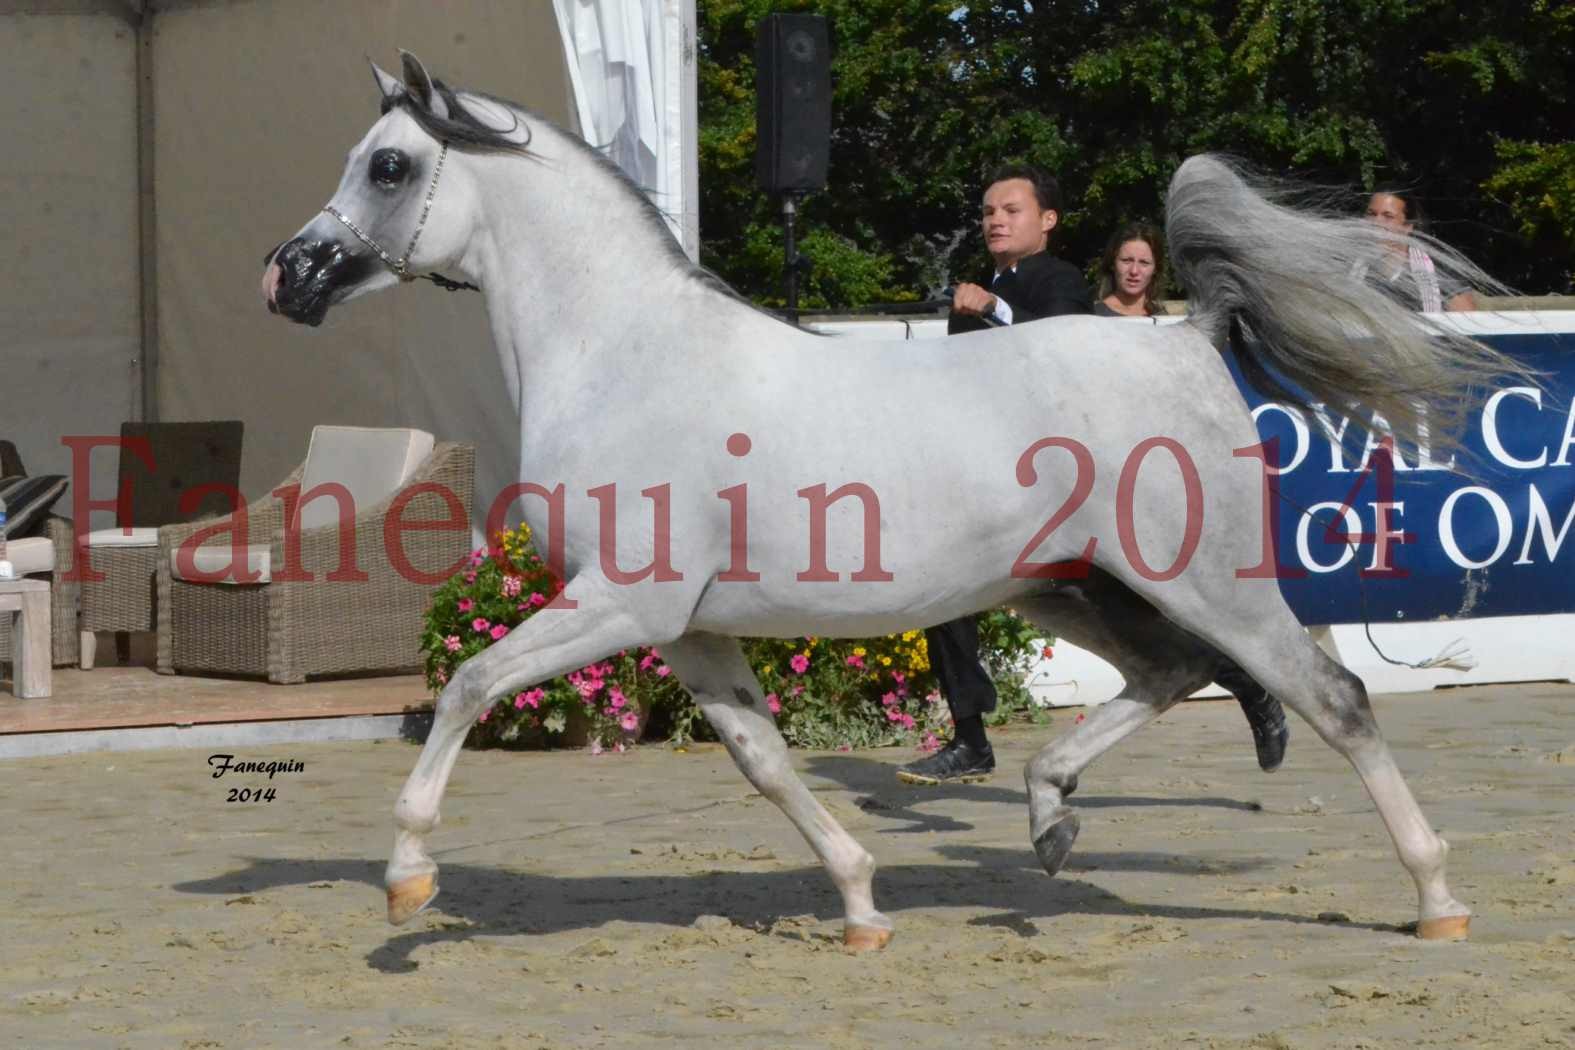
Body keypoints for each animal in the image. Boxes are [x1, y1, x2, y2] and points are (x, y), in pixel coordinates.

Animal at [267, 51, 1512, 950]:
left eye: (388, 166)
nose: (288, 276)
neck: (628, 356)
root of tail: (1186, 336)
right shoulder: (690, 629)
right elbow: (764, 761)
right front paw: (862, 905)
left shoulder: (624, 603)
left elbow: (469, 684)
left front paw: (407, 883)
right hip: (1064, 587)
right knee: (1172, 675)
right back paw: (1050, 816)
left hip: (1208, 580)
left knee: (1330, 696)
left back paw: (1438, 900)